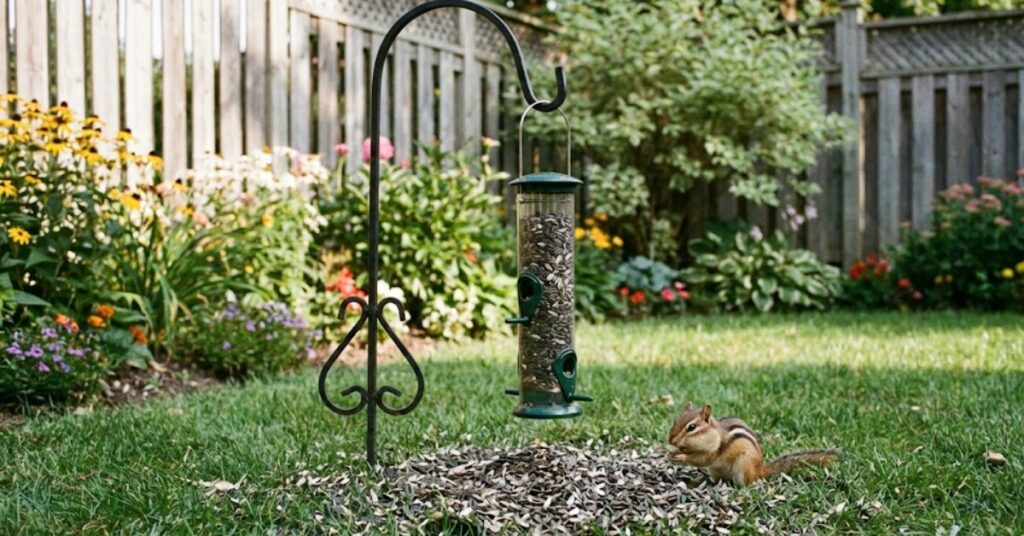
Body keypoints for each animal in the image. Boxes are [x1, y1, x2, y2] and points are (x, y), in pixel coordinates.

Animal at [667, 402, 841, 487]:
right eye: (675, 421)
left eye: (691, 427)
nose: (671, 440)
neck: (715, 434)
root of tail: (759, 471)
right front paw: (671, 453)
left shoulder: (715, 450)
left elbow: (701, 459)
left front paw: (680, 457)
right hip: (715, 471)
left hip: (742, 465)